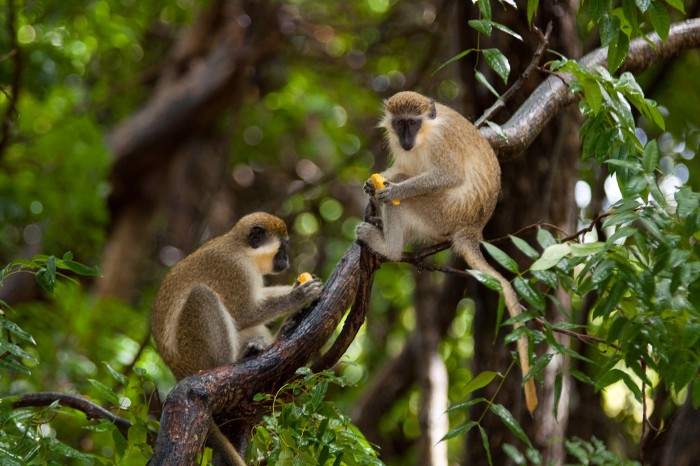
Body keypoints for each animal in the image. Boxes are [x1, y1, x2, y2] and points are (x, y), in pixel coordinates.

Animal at [152, 212, 324, 466]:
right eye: (282, 246)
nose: (286, 259)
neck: (243, 250)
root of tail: (178, 370)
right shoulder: (234, 270)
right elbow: (244, 313)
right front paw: (298, 296)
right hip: (194, 354)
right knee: (202, 296)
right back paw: (233, 359)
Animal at [358, 91, 540, 416]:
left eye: (412, 123)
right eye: (400, 123)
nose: (405, 138)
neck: (425, 135)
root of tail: (472, 229)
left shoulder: (440, 142)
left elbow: (446, 175)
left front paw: (390, 190)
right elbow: (403, 168)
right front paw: (371, 184)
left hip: (441, 213)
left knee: (408, 196)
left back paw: (389, 246)